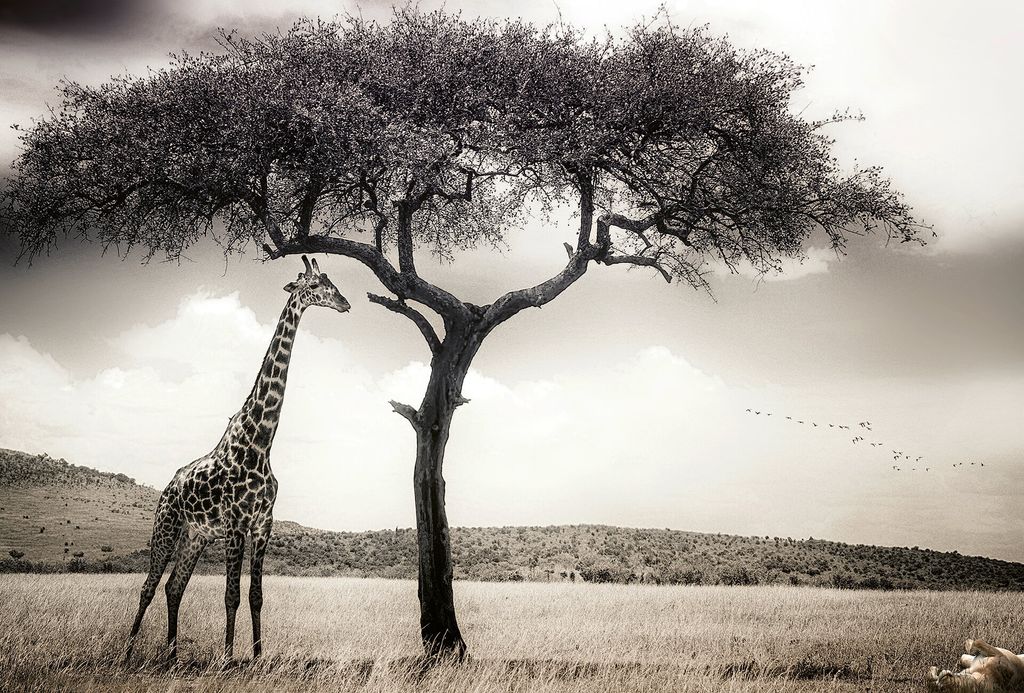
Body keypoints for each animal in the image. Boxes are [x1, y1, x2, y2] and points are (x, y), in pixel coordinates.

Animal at [124, 255, 350, 664]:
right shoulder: (235, 524)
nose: (344, 303)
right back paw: (128, 650)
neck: (261, 443)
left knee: (173, 587)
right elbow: (230, 595)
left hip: (195, 536)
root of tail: (167, 487)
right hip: (166, 527)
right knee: (148, 587)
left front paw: (258, 656)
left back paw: (173, 654)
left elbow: (255, 596)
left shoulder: (262, 524)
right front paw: (229, 657)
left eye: (333, 282)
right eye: (315, 286)